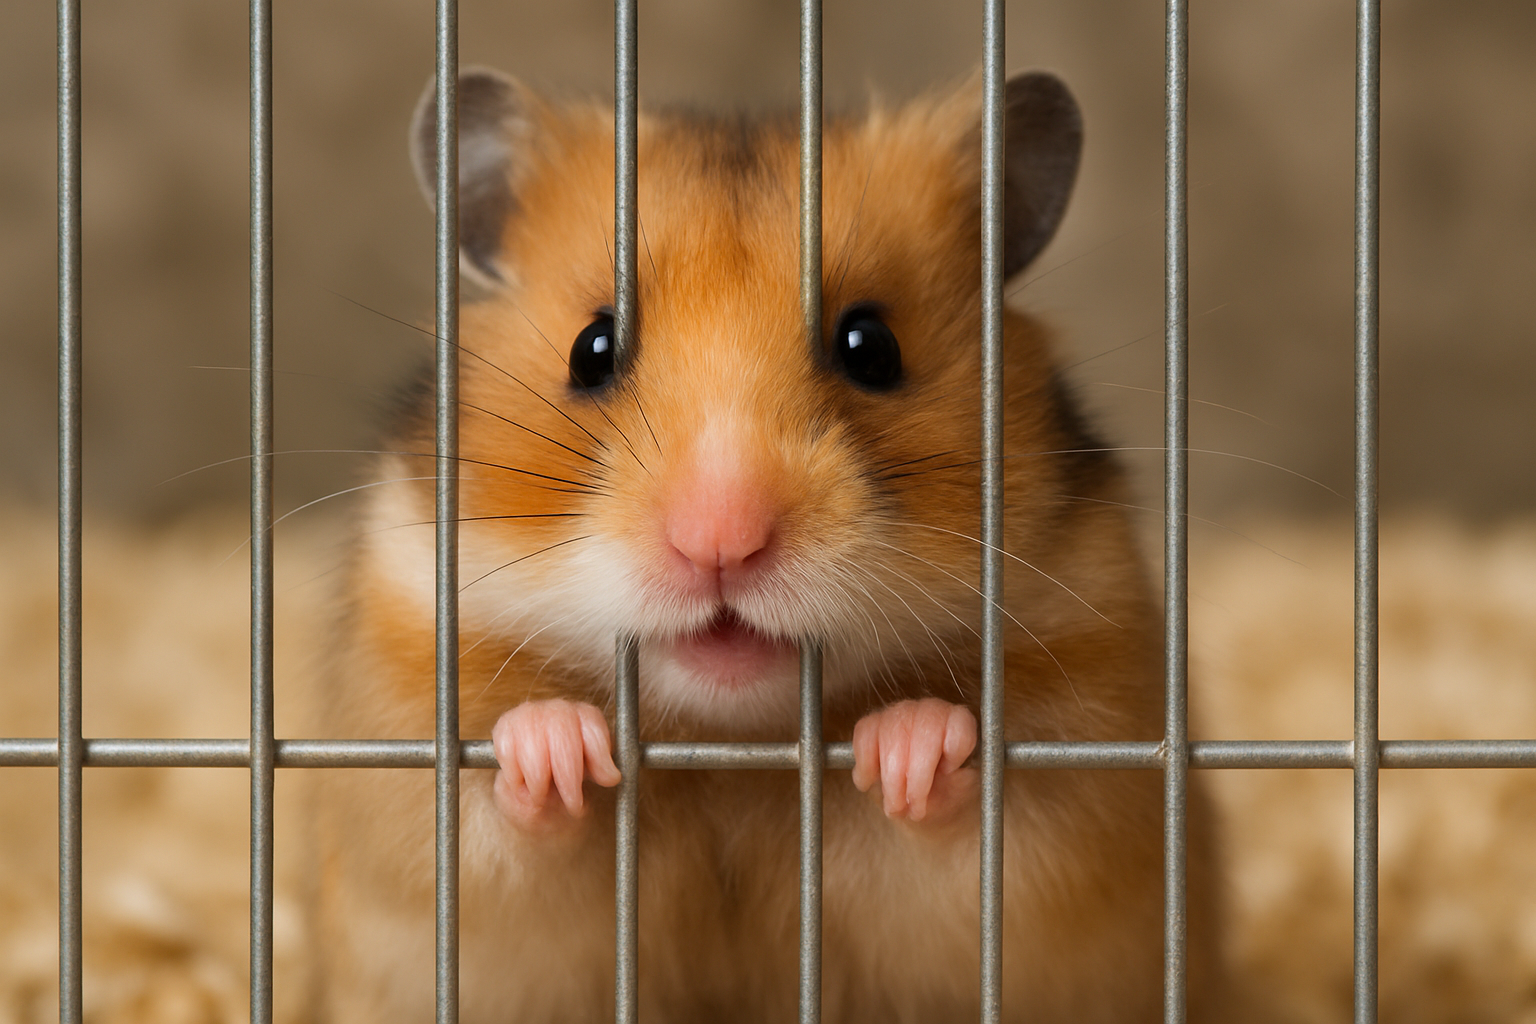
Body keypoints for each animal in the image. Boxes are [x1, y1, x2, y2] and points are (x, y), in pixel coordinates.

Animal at [313, 67, 1224, 1023]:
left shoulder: (1082, 777)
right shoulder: (411, 769)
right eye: (591, 348)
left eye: (871, 346)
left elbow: (973, 837)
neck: (735, 749)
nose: (721, 541)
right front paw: (554, 742)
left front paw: (914, 740)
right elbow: (501, 824)